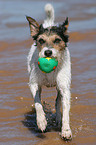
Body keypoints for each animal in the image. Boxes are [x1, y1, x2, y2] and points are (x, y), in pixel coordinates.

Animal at [26, 3, 72, 140]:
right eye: (41, 40)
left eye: (57, 40)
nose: (47, 52)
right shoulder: (34, 84)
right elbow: (37, 103)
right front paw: (41, 121)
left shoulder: (64, 88)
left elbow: (65, 110)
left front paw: (66, 130)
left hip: (59, 86)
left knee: (57, 101)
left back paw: (58, 119)